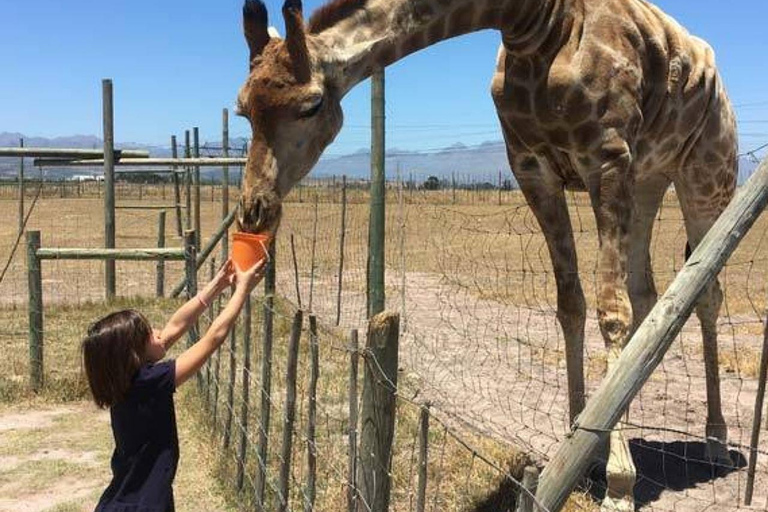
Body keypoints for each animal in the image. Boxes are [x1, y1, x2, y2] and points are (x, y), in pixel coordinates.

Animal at [236, 0, 736, 508]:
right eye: (243, 110)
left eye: (311, 105)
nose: (254, 209)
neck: (533, 24)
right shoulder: (532, 168)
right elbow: (571, 305)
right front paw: (583, 447)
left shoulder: (607, 159)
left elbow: (610, 313)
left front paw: (618, 482)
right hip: (650, 178)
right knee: (648, 293)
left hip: (707, 174)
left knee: (707, 291)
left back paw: (716, 441)